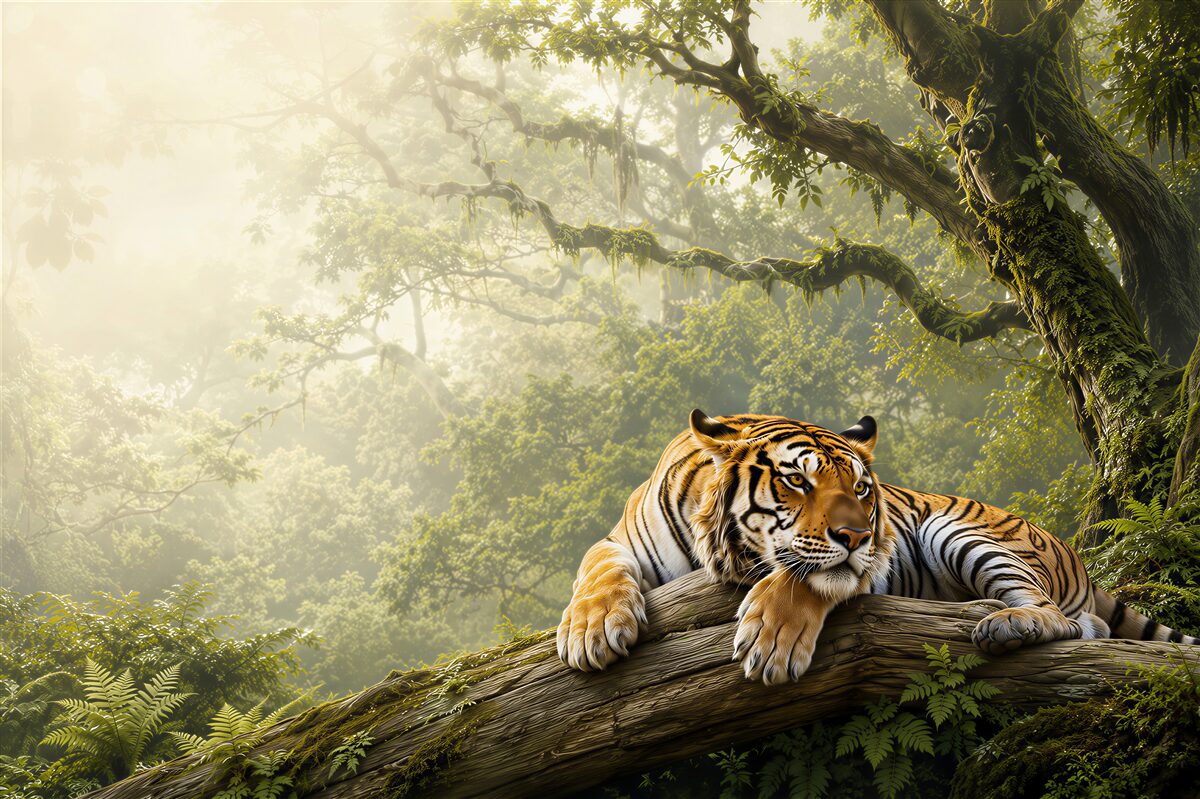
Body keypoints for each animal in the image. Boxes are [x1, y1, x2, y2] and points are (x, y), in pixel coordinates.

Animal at [556, 410, 1200, 684]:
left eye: (862, 489)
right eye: (798, 480)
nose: (859, 535)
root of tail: (1072, 551)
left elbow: (804, 578)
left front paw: (771, 641)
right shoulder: (619, 539)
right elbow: (595, 570)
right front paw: (592, 630)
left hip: (959, 531)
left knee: (1064, 619)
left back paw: (1006, 624)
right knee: (1089, 624)